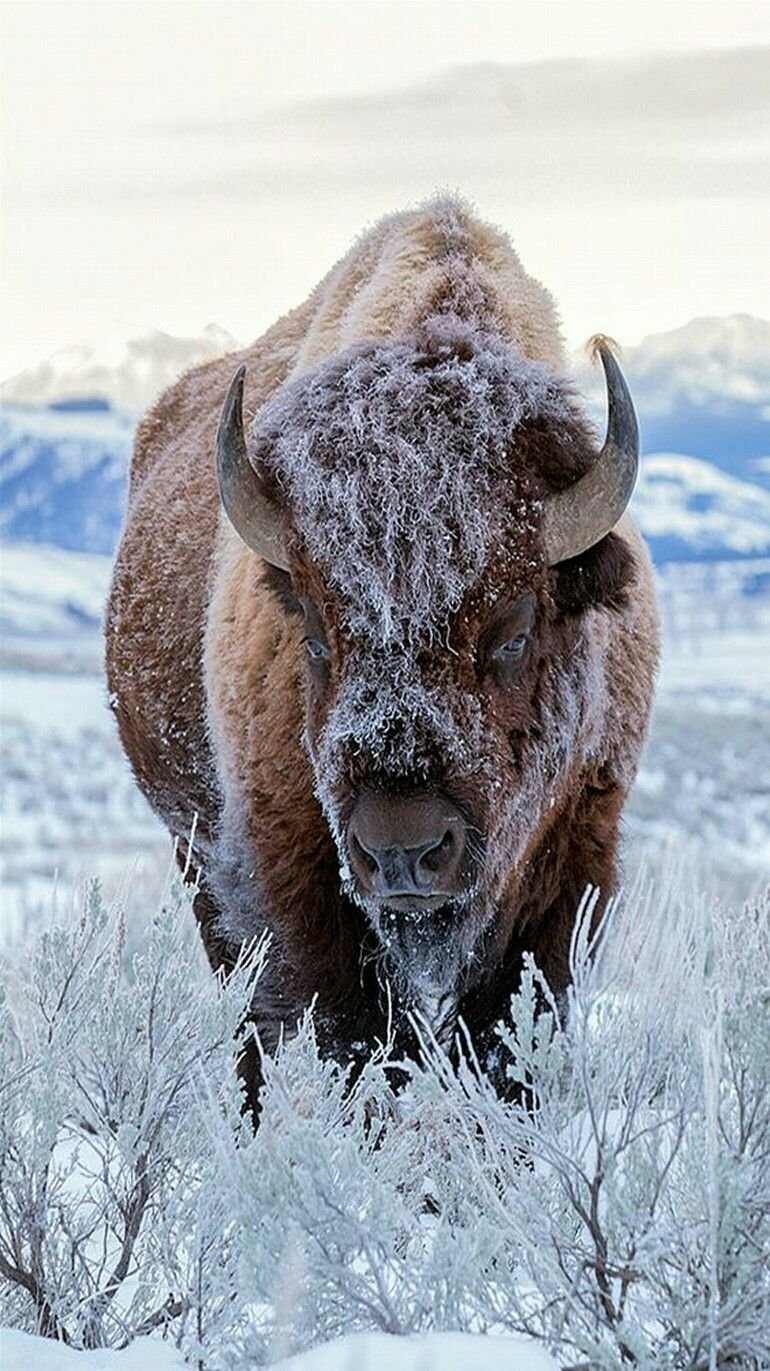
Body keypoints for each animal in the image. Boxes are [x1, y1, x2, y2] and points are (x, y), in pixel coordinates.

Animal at [106, 196, 660, 1091]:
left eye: (513, 630)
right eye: (315, 632)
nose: (403, 852)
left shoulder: (573, 866)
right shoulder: (293, 886)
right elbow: (345, 1035)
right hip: (198, 858)